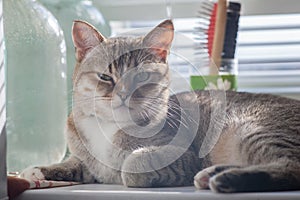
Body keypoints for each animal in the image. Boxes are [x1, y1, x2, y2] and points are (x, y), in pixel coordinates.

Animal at [21, 19, 300, 193]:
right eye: (105, 77)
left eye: (142, 77)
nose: (123, 94)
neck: (110, 127)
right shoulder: (87, 161)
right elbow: (75, 164)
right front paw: (40, 170)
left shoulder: (181, 155)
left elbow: (131, 165)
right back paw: (212, 174)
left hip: (255, 130)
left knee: (291, 167)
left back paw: (224, 178)